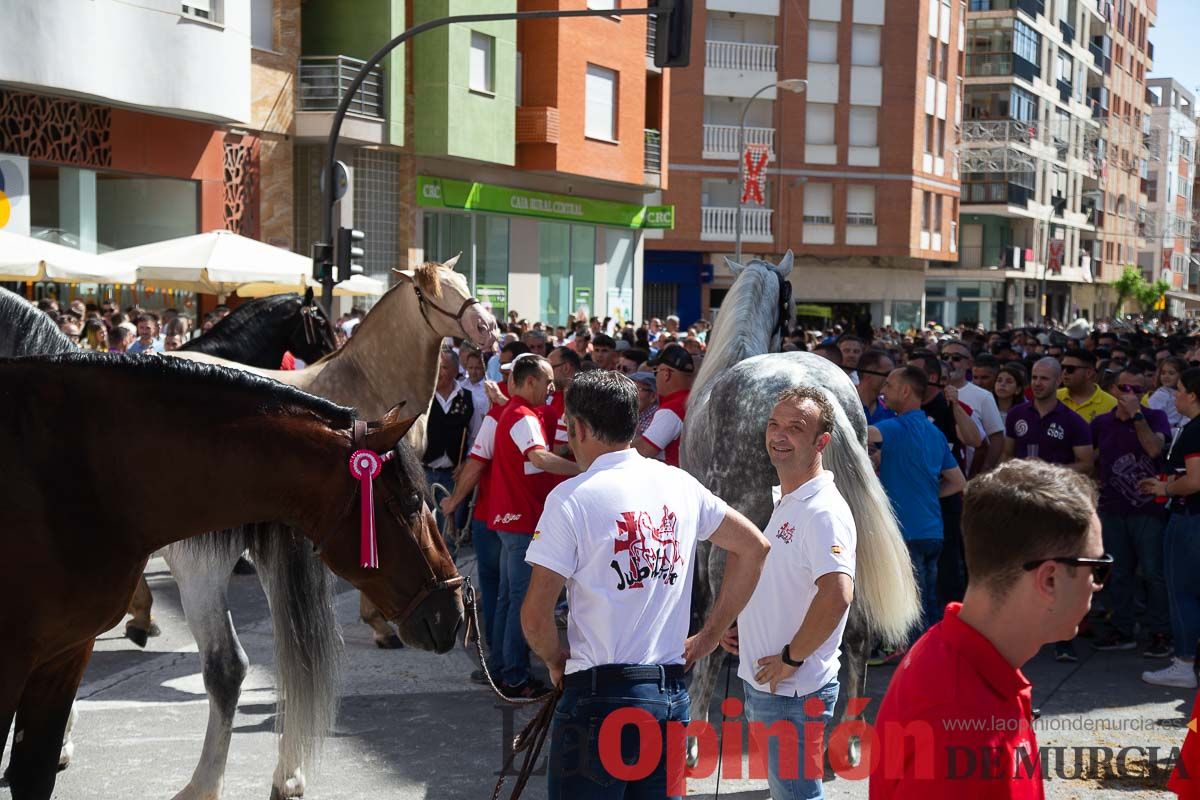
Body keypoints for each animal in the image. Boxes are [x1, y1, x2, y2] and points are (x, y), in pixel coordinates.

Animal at [676, 253, 916, 767]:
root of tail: (812, 389)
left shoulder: (708, 541)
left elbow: (707, 618)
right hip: (844, 545)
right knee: (855, 631)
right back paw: (846, 741)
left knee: (721, 634)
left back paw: (694, 738)